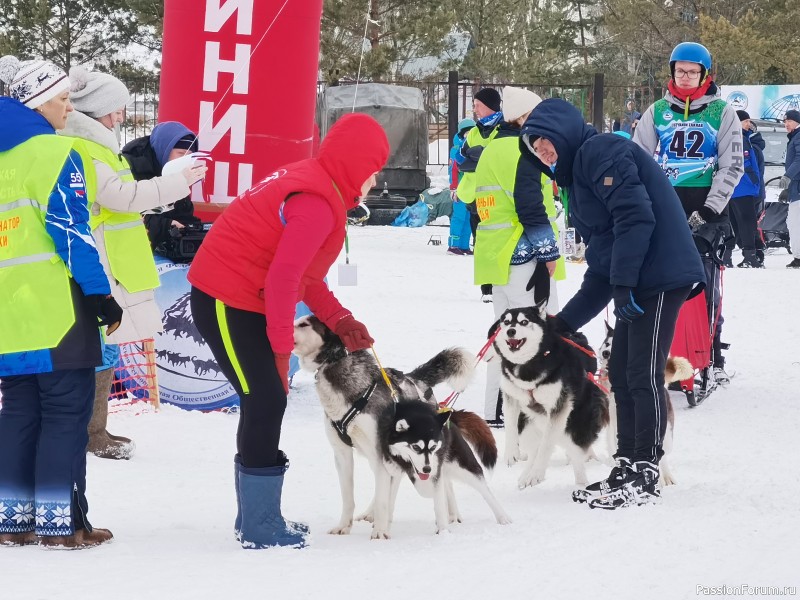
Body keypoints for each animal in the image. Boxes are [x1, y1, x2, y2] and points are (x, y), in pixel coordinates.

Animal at [294, 316, 476, 536]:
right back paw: (371, 513)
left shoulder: (380, 452)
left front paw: (380, 532)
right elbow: (349, 498)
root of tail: (416, 379)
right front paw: (344, 526)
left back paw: (452, 515)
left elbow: (383, 497)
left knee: (440, 480)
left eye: (304, 324)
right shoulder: (342, 454)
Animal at [382, 404, 512, 536]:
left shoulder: (434, 472)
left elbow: (438, 499)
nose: (427, 469)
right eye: (416, 447)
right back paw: (452, 516)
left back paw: (503, 517)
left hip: (462, 467)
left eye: (433, 447)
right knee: (447, 487)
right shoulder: (394, 472)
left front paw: (443, 531)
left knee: (484, 489)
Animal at [490, 304, 608, 488]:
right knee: (535, 449)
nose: (510, 331)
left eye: (524, 322)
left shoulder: (558, 406)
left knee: (572, 454)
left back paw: (580, 484)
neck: (528, 365)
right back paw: (525, 474)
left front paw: (536, 474)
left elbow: (546, 447)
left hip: (572, 430)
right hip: (530, 428)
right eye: (506, 322)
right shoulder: (511, 397)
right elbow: (510, 427)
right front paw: (511, 453)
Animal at [596, 322, 692, 486]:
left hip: (667, 435)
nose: (606, 353)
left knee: (662, 456)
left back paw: (665, 477)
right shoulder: (613, 424)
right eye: (607, 344)